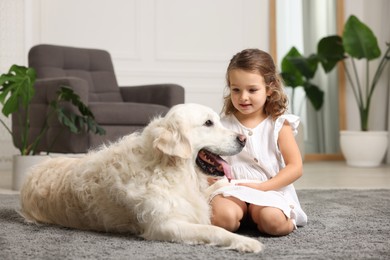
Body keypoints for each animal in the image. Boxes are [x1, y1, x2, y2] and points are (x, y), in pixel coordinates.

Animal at [18, 103, 264, 252]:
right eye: (208, 123)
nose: (243, 139)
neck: (169, 168)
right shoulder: (164, 225)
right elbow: (214, 230)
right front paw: (247, 241)